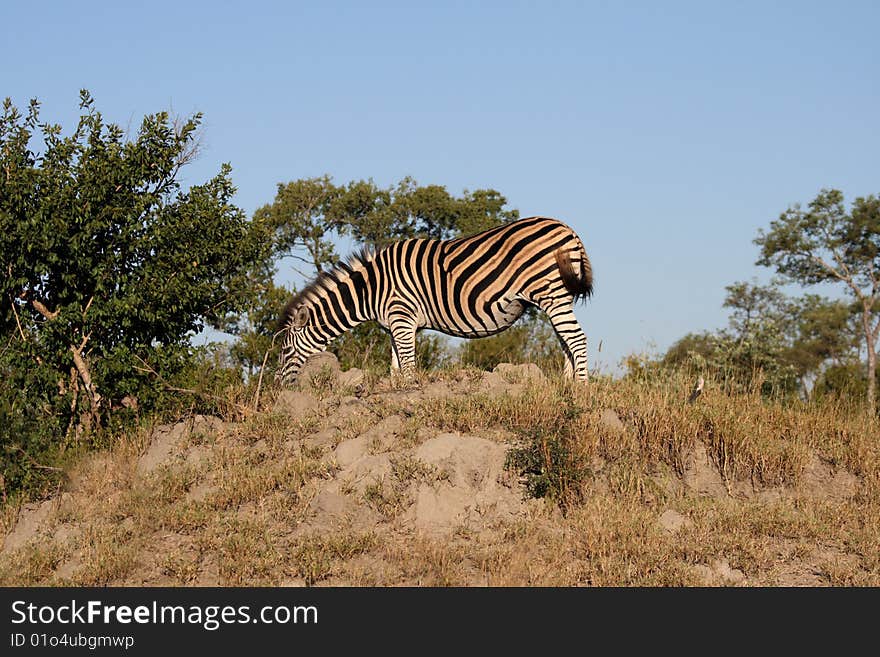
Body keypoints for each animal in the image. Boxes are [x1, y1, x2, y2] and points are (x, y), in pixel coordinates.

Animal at [274, 217, 592, 384]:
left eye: (286, 351)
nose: (278, 386)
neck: (371, 289)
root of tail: (567, 229)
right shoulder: (394, 325)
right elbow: (395, 367)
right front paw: (397, 390)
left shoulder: (402, 318)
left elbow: (408, 366)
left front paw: (408, 394)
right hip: (557, 296)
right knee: (566, 342)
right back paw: (565, 385)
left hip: (552, 292)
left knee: (576, 339)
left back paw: (580, 389)